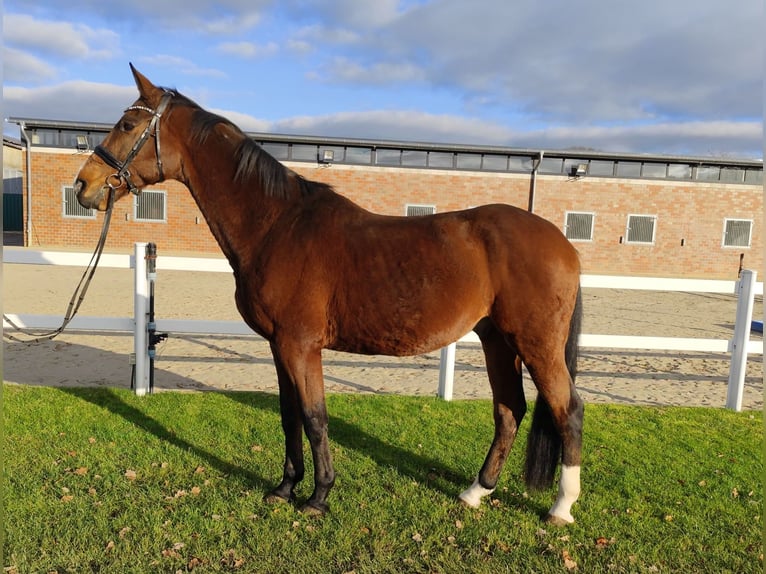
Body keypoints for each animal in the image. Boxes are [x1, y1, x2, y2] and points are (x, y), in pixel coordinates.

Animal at [73, 65, 588, 528]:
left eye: (127, 124)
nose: (83, 185)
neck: (277, 225)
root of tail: (562, 244)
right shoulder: (279, 346)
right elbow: (289, 416)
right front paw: (285, 488)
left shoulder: (301, 346)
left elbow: (315, 417)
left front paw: (318, 498)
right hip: (497, 340)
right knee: (509, 411)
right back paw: (475, 492)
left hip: (536, 344)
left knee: (568, 409)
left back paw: (561, 508)